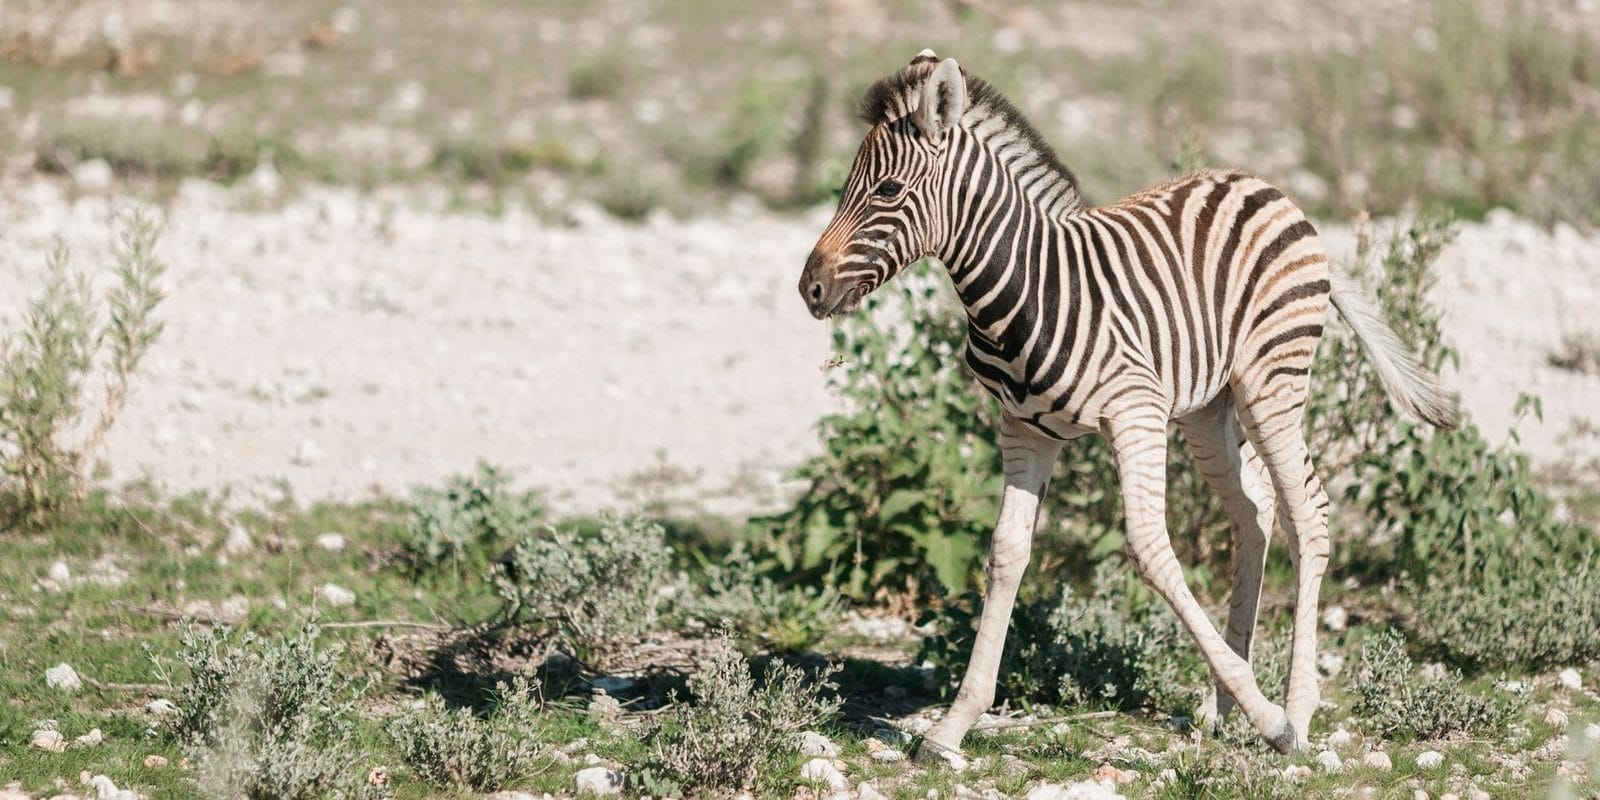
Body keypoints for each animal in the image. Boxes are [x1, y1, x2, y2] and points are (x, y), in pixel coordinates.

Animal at [793, 53, 1459, 758]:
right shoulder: (1024, 429)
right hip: (1207, 409)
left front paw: (1272, 719)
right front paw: (953, 726)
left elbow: (1148, 549)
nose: (809, 289)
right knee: (1253, 515)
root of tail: (1269, 188)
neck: (1024, 290)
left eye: (888, 190)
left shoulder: (1135, 412)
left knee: (1308, 514)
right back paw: (1223, 703)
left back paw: (1296, 711)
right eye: (847, 186)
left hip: (1271, 381)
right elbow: (1006, 554)